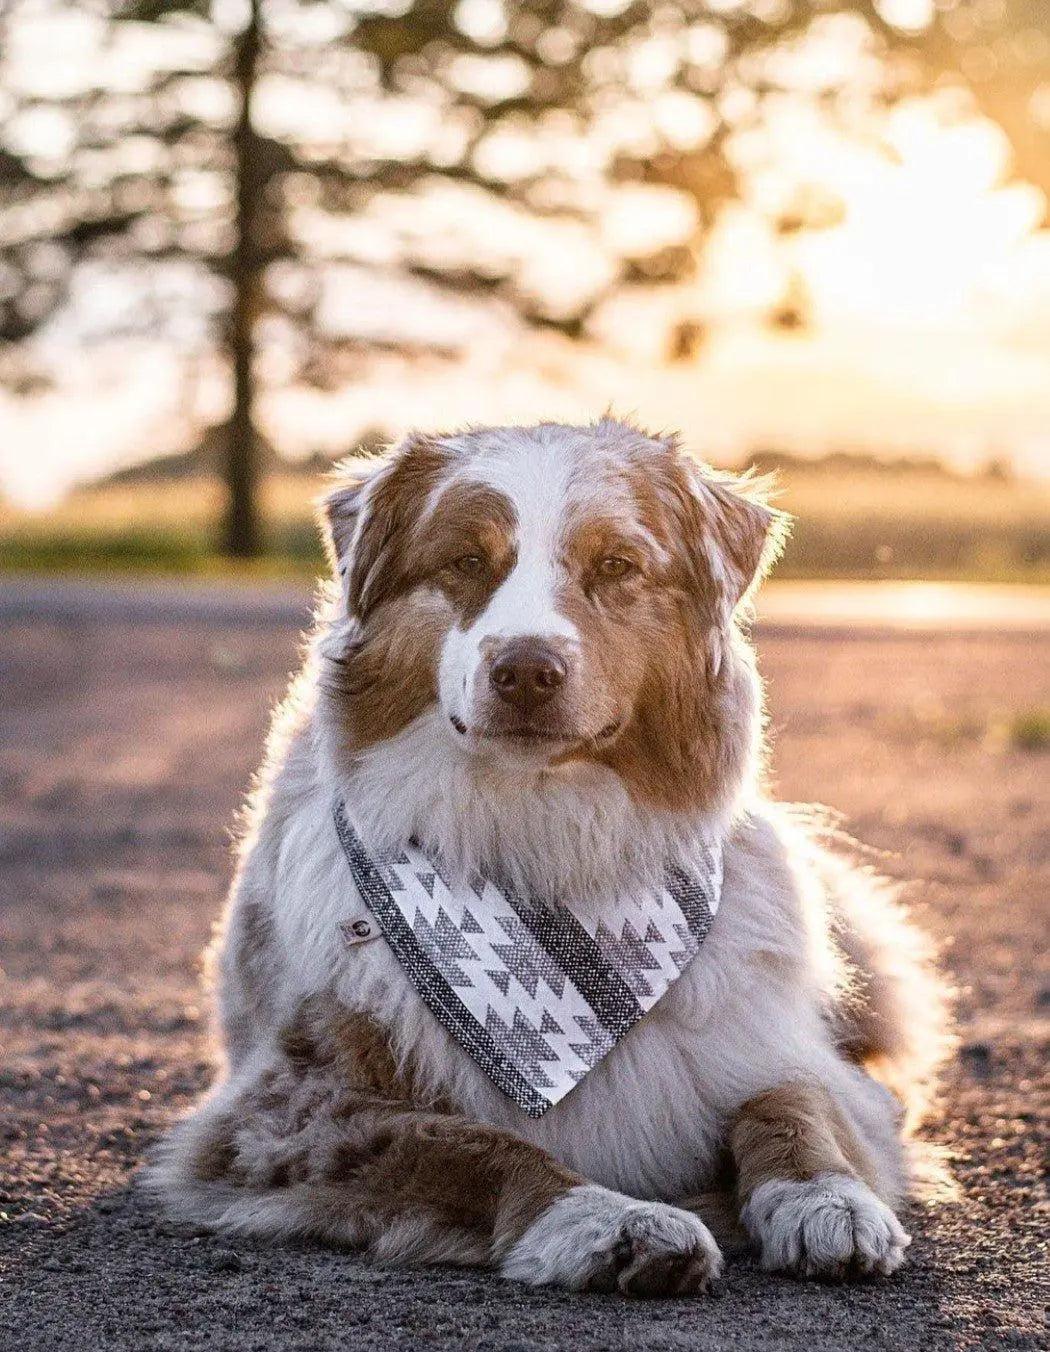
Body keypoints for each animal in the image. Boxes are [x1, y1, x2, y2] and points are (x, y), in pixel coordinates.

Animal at [149, 416, 951, 1292]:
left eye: (617, 566)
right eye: (466, 562)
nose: (526, 669)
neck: (544, 837)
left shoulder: (763, 1043)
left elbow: (795, 1104)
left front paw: (824, 1197)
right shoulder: (287, 1106)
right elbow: (471, 1145)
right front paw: (604, 1218)